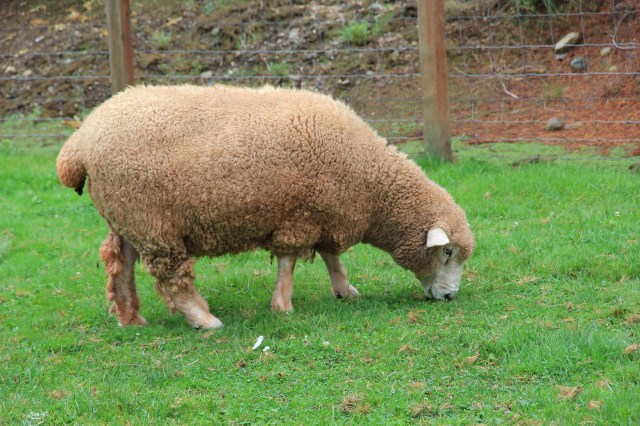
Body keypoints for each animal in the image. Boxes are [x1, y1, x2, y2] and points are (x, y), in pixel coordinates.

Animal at [56, 84, 475, 329]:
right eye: (447, 252)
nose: (450, 297)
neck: (370, 185)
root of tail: (81, 142)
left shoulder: (325, 213)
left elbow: (331, 257)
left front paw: (345, 290)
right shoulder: (300, 215)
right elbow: (289, 262)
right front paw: (283, 306)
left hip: (128, 215)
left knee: (120, 266)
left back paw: (131, 319)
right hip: (153, 221)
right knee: (172, 276)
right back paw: (204, 319)